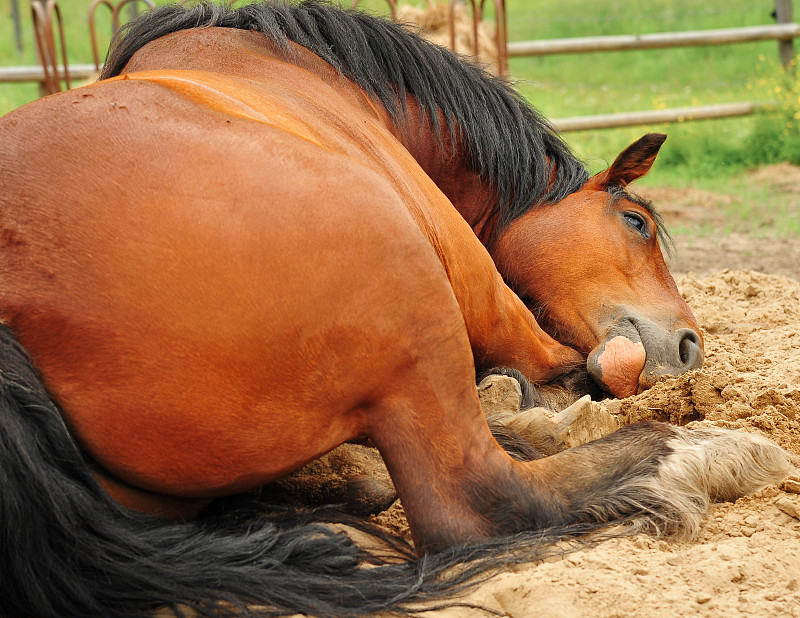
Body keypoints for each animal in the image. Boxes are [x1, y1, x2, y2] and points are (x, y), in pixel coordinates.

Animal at [0, 2, 788, 612]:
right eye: (636, 223)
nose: (690, 345)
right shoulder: (496, 305)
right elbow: (574, 366)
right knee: (485, 499)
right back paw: (709, 451)